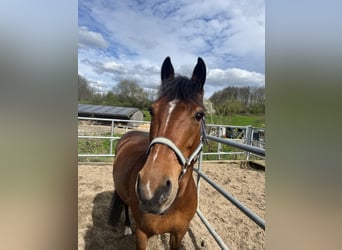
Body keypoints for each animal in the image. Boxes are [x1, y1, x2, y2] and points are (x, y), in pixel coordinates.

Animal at [109, 57, 206, 250]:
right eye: (151, 110)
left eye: (199, 115)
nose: (152, 190)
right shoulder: (141, 234)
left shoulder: (179, 233)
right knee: (124, 204)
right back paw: (127, 227)